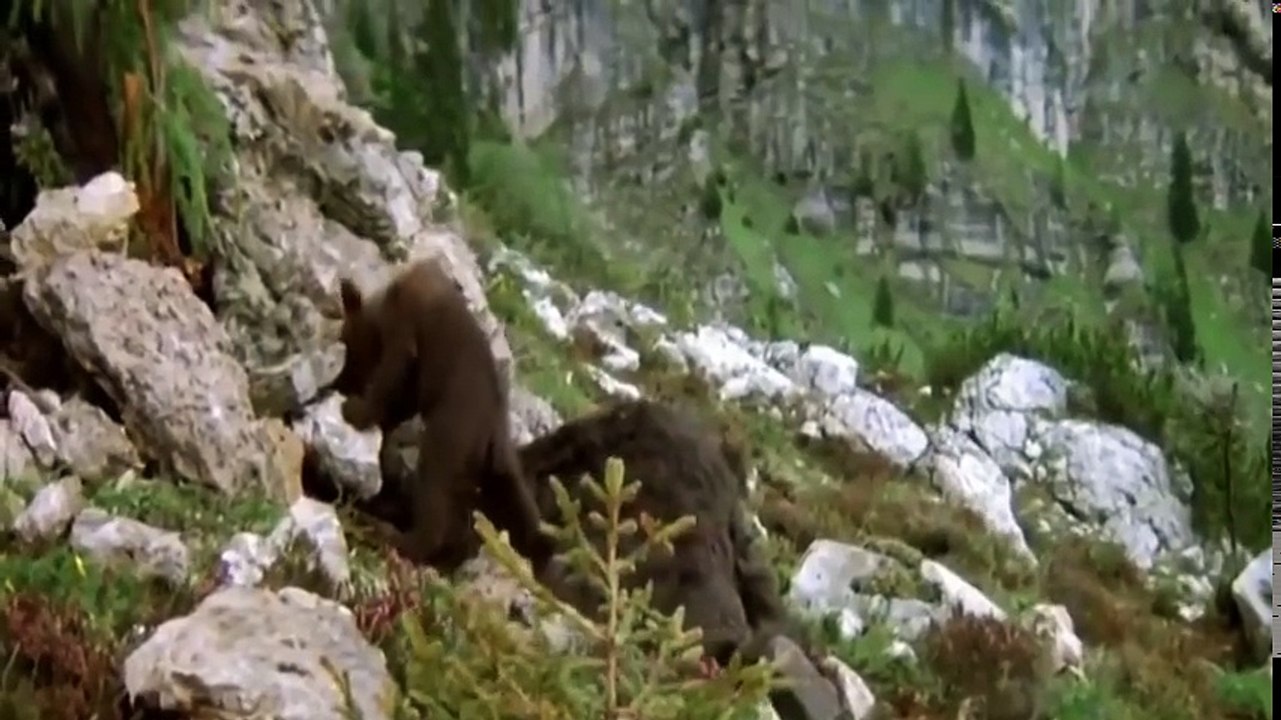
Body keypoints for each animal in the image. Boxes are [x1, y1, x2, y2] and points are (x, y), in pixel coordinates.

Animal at [332, 258, 551, 571]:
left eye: (347, 352)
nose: (337, 383)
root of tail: (494, 427)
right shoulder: (419, 376)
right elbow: (404, 397)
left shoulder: (406, 325)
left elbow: (394, 369)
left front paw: (356, 411)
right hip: (489, 464)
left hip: (452, 431)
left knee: (435, 486)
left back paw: (390, 533)